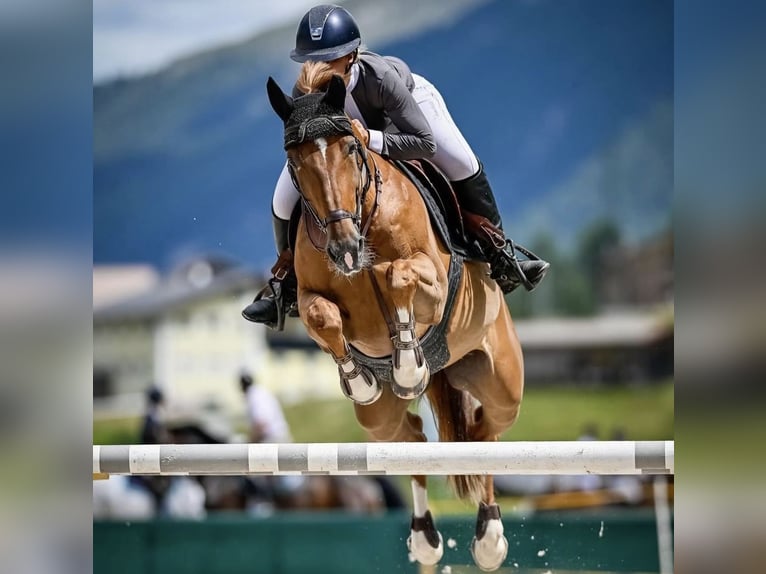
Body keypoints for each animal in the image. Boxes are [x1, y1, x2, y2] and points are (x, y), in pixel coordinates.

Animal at [265, 73, 524, 571]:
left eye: (350, 148)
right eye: (294, 162)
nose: (344, 249)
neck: (363, 220)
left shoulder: (435, 283)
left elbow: (397, 274)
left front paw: (407, 366)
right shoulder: (310, 299)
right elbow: (323, 314)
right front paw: (362, 378)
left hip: (502, 382)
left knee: (485, 429)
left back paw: (490, 539)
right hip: (377, 423)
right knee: (415, 440)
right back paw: (425, 537)